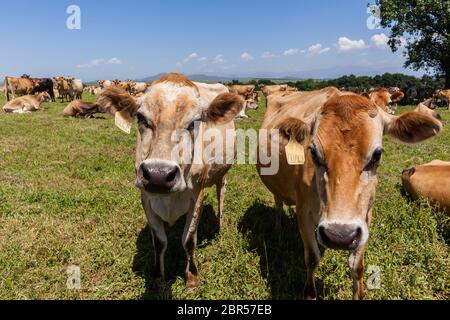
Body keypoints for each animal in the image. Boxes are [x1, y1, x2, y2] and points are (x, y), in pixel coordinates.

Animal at [96, 74, 244, 290]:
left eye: (194, 122)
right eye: (141, 117)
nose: (158, 174)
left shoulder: (197, 196)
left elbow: (188, 239)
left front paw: (191, 277)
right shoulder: (146, 197)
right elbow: (159, 242)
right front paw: (159, 277)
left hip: (222, 174)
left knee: (221, 195)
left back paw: (220, 226)